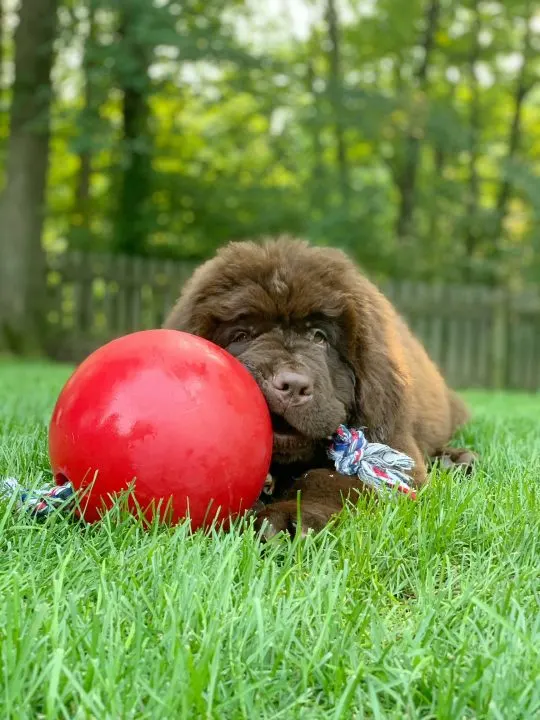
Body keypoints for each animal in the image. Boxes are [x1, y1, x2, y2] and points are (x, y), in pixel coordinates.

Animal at [162, 233, 474, 536]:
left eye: (319, 337)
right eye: (241, 335)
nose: (292, 385)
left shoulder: (392, 447)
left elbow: (331, 479)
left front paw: (290, 516)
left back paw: (455, 459)